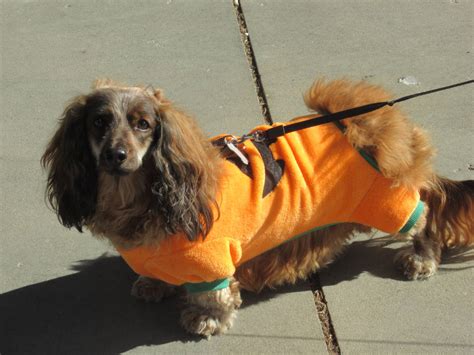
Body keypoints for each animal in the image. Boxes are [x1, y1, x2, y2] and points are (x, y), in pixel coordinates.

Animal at [41, 78, 474, 340]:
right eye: (99, 122)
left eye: (143, 123)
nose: (116, 155)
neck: (137, 198)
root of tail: (374, 123)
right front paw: (154, 283)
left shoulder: (211, 259)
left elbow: (213, 296)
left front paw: (207, 320)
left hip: (387, 201)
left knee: (425, 217)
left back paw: (421, 258)